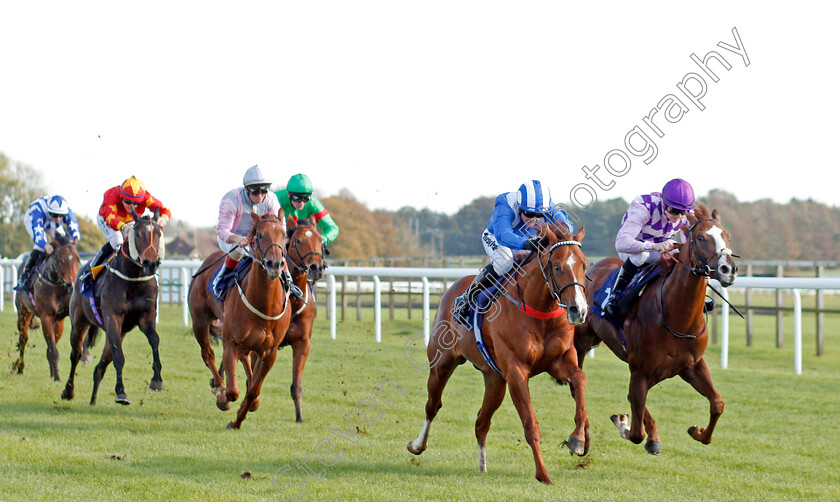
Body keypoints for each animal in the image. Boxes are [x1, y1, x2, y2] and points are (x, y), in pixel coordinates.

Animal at [12, 236, 80, 380]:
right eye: (62, 260)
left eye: (77, 260)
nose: (72, 286)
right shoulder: (46, 317)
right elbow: (53, 349)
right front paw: (57, 378)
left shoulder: (62, 317)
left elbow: (53, 346)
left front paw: (54, 373)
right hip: (23, 311)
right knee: (23, 339)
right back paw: (19, 367)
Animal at [60, 206, 166, 406]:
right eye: (138, 234)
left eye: (158, 234)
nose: (151, 263)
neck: (133, 279)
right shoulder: (113, 318)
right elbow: (119, 357)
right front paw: (121, 393)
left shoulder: (146, 316)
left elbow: (155, 340)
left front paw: (157, 380)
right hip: (80, 322)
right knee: (75, 354)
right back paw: (68, 391)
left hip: (116, 333)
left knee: (100, 367)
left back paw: (93, 401)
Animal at [189, 211, 294, 428]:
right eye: (260, 235)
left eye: (284, 235)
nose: (275, 264)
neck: (264, 305)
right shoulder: (231, 342)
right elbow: (233, 391)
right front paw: (223, 397)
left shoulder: (270, 352)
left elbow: (254, 390)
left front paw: (237, 421)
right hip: (199, 321)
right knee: (208, 354)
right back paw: (218, 386)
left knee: (245, 361)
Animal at [410, 226, 588, 484]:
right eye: (557, 267)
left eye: (585, 266)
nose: (579, 310)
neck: (540, 311)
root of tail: (452, 288)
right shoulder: (516, 372)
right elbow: (530, 424)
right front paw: (543, 474)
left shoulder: (559, 361)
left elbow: (580, 379)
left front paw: (578, 439)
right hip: (441, 364)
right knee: (432, 406)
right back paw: (417, 445)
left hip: (495, 380)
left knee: (481, 422)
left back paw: (482, 466)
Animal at [576, 204, 740, 454]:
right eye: (700, 237)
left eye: (727, 236)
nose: (728, 269)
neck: (677, 318)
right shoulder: (641, 370)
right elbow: (635, 432)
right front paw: (623, 424)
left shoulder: (692, 365)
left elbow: (717, 404)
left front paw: (698, 431)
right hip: (582, 341)